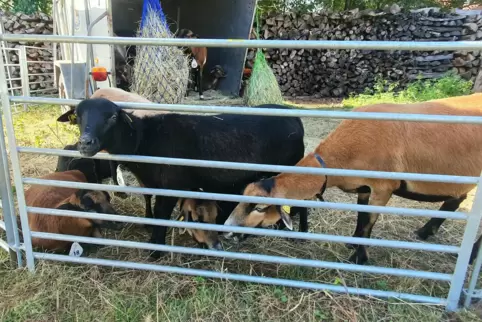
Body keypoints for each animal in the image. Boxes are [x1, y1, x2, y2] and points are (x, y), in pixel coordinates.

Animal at [224, 92, 482, 264]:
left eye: (259, 207)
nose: (226, 229)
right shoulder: (364, 187)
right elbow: (361, 216)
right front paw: (353, 242)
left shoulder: (383, 187)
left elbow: (369, 221)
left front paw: (359, 257)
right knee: (456, 200)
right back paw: (425, 232)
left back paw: (470, 256)